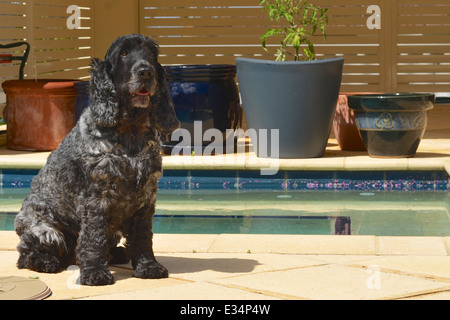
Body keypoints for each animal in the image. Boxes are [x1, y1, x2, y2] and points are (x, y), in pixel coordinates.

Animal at [14, 34, 179, 284]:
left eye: (152, 54)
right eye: (123, 53)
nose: (146, 72)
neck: (130, 131)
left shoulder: (146, 197)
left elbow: (142, 237)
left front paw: (148, 266)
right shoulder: (96, 197)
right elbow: (94, 237)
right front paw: (95, 272)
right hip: (45, 228)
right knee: (25, 256)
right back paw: (47, 262)